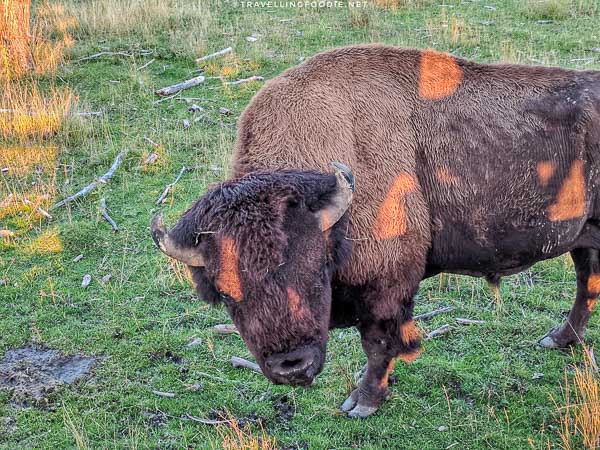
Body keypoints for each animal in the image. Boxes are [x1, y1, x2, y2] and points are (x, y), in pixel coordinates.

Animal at [152, 45, 600, 418]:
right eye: (227, 294)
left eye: (314, 271)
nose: (292, 366)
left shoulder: (384, 287)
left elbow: (378, 345)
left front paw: (362, 403)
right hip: (585, 236)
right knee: (586, 280)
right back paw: (560, 339)